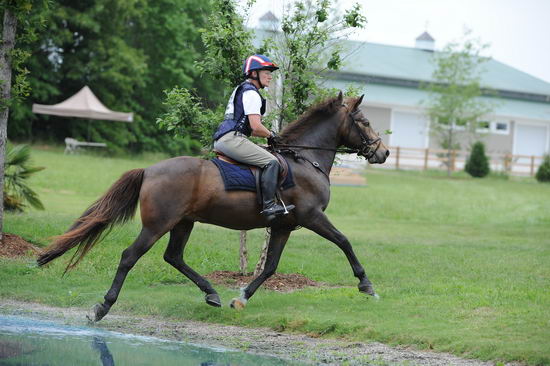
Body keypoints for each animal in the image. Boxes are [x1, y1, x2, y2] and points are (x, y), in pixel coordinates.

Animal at [36, 91, 390, 320]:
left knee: (174, 257)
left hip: (183, 222)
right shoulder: (312, 216)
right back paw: (102, 307)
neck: (305, 159)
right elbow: (344, 241)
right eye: (364, 121)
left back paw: (211, 293)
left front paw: (241, 298)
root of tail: (149, 169)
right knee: (129, 257)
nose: (383, 152)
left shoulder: (283, 225)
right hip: (157, 224)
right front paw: (367, 286)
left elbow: (271, 267)